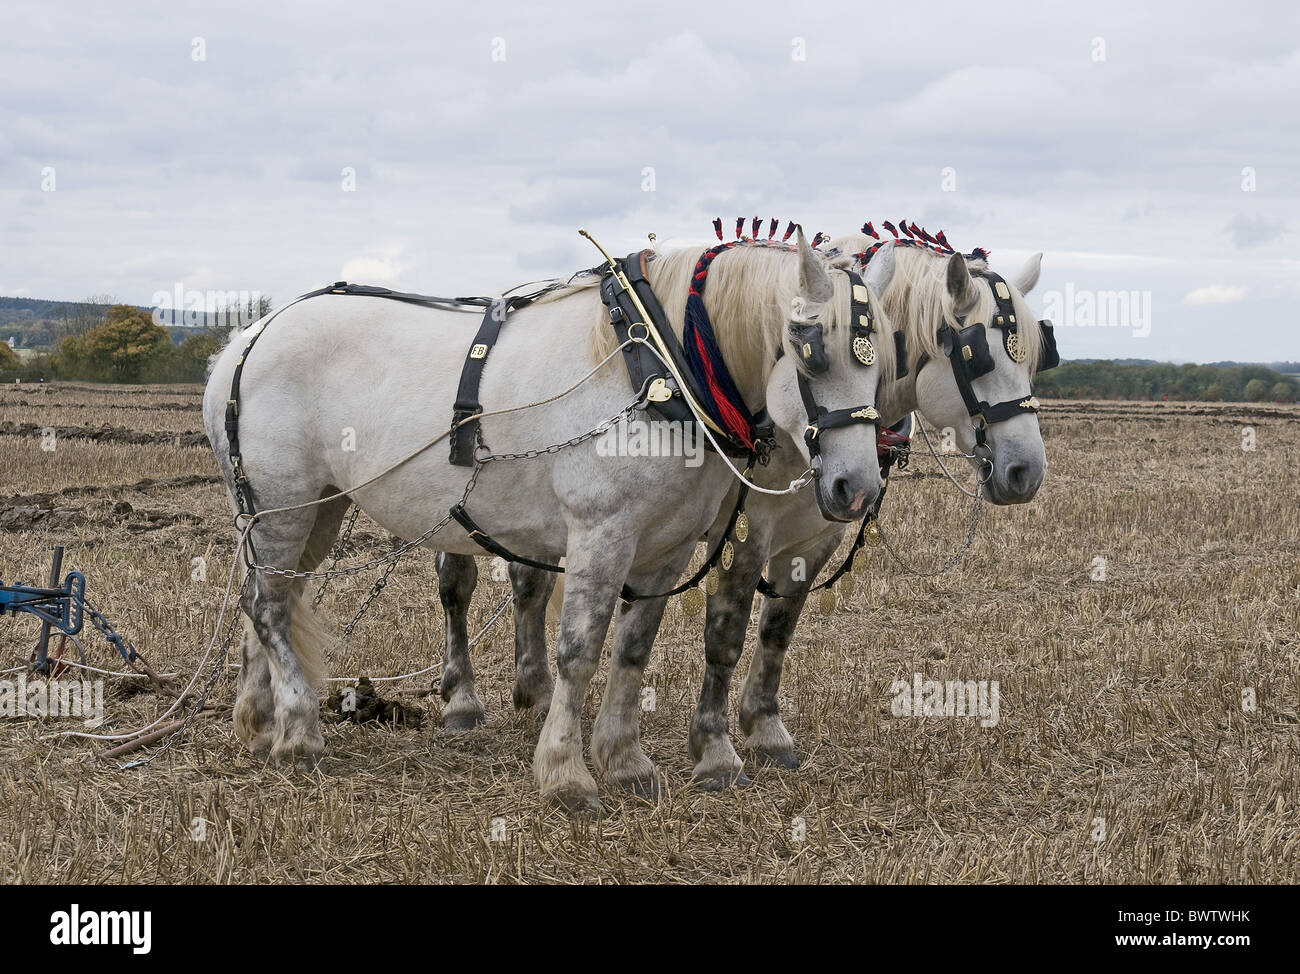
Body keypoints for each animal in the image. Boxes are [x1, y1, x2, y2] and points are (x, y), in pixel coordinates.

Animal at [201, 228, 891, 815]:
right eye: (810, 348)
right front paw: (566, 773)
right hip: (284, 504)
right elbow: (579, 652)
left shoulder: (664, 548)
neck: (658, 371)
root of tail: (249, 338)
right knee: (268, 606)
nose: (857, 487)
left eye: (883, 361)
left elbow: (632, 649)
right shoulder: (601, 534)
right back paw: (299, 733)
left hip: (311, 508)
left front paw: (626, 761)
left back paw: (259, 722)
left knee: (268, 600)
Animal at [432, 226, 1054, 788]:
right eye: (975, 354)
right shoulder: (745, 531)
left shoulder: (813, 535)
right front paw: (713, 749)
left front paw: (765, 728)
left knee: (529, 582)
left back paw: (535, 689)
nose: (1026, 473)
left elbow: (778, 629)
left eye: (1037, 356)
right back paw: (462, 697)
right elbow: (726, 633)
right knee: (458, 585)